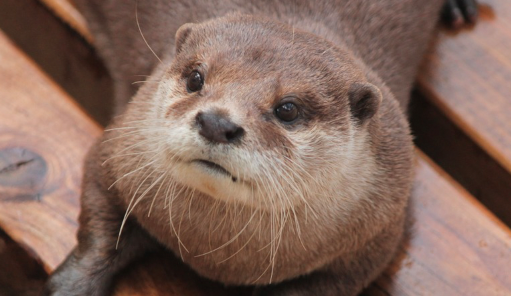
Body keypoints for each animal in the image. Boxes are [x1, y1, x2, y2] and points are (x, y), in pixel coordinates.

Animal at [45, 0, 480, 296]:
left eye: (287, 109)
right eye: (196, 78)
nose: (217, 123)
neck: (214, 254)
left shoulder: (376, 238)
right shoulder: (116, 151)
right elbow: (98, 229)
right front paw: (71, 284)